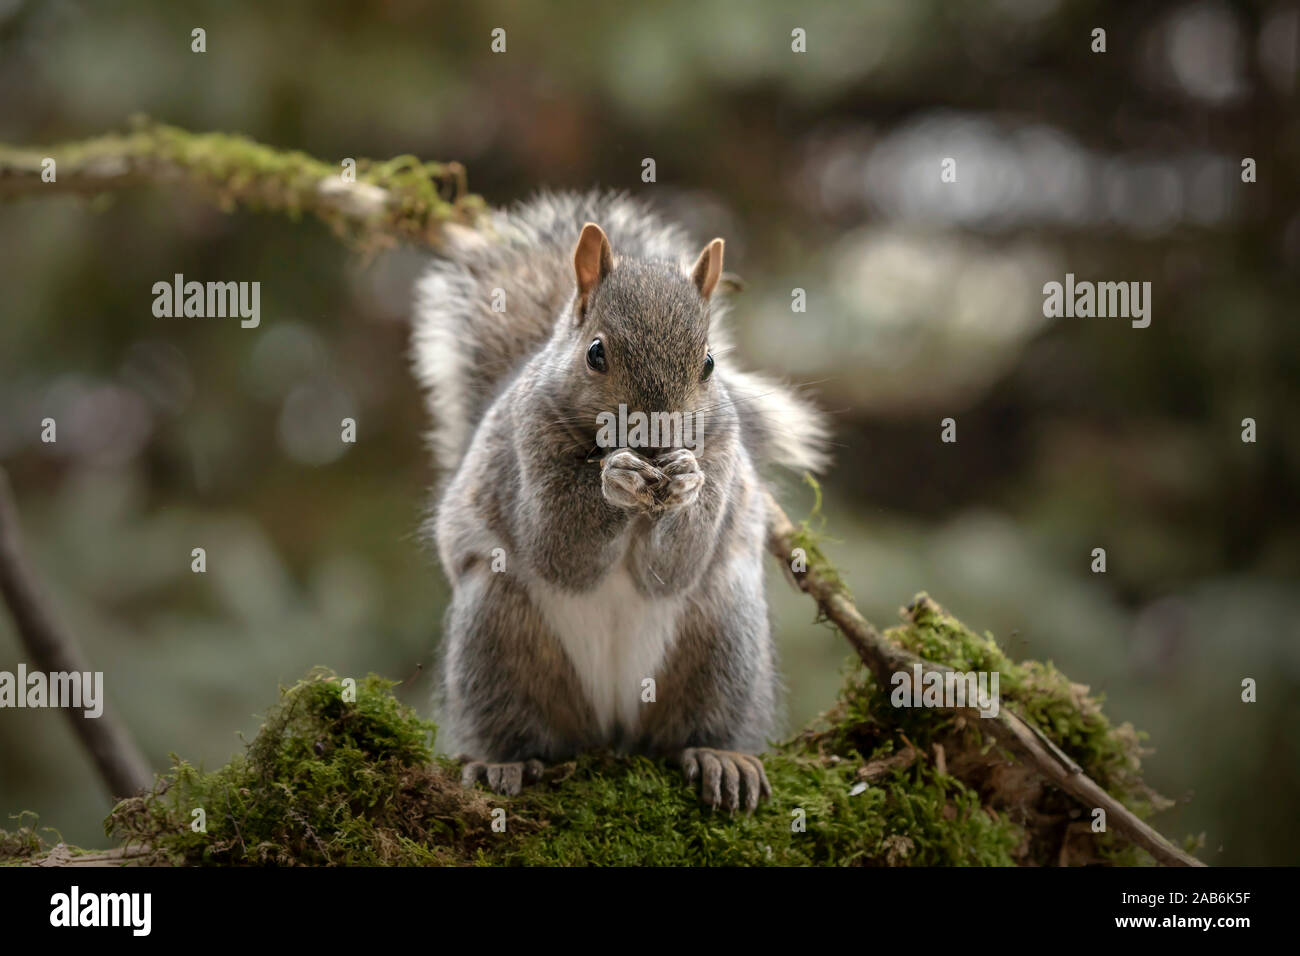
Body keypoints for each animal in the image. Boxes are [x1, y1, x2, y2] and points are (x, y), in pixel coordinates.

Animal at [410, 191, 828, 811]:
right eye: (596, 354)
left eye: (709, 363)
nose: (656, 442)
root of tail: (610, 726)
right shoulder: (525, 446)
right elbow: (558, 547)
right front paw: (616, 480)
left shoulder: (723, 450)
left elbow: (674, 567)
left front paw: (686, 483)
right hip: (494, 635)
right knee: (516, 722)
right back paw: (501, 762)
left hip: (725, 641)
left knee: (697, 724)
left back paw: (719, 756)